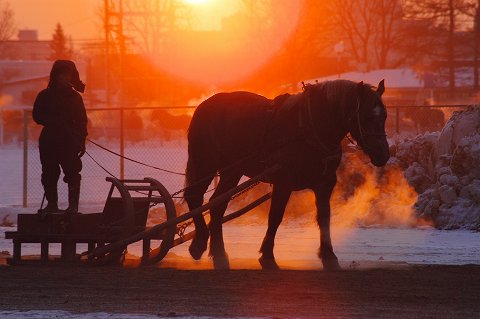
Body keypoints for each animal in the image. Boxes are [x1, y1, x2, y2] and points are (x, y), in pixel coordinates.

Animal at [184, 79, 390, 270]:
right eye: (367, 116)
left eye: (384, 116)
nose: (383, 155)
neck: (310, 128)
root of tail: (203, 106)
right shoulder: (283, 182)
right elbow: (275, 217)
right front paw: (267, 255)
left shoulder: (324, 184)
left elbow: (324, 218)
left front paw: (329, 255)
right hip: (205, 164)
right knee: (194, 196)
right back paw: (200, 243)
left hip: (232, 171)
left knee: (217, 205)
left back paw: (218, 252)